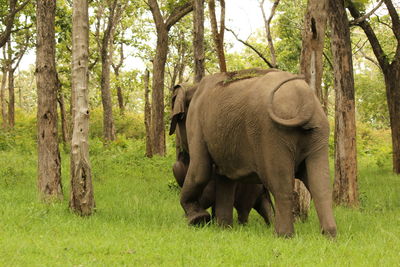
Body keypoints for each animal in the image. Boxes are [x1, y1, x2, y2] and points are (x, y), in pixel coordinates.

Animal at [170, 69, 336, 239]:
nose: (178, 160)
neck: (194, 86)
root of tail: (305, 99)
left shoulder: (196, 120)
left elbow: (199, 171)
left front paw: (197, 219)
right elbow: (225, 178)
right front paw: (223, 228)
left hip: (272, 134)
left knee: (279, 184)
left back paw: (282, 235)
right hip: (318, 131)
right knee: (320, 185)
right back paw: (330, 236)